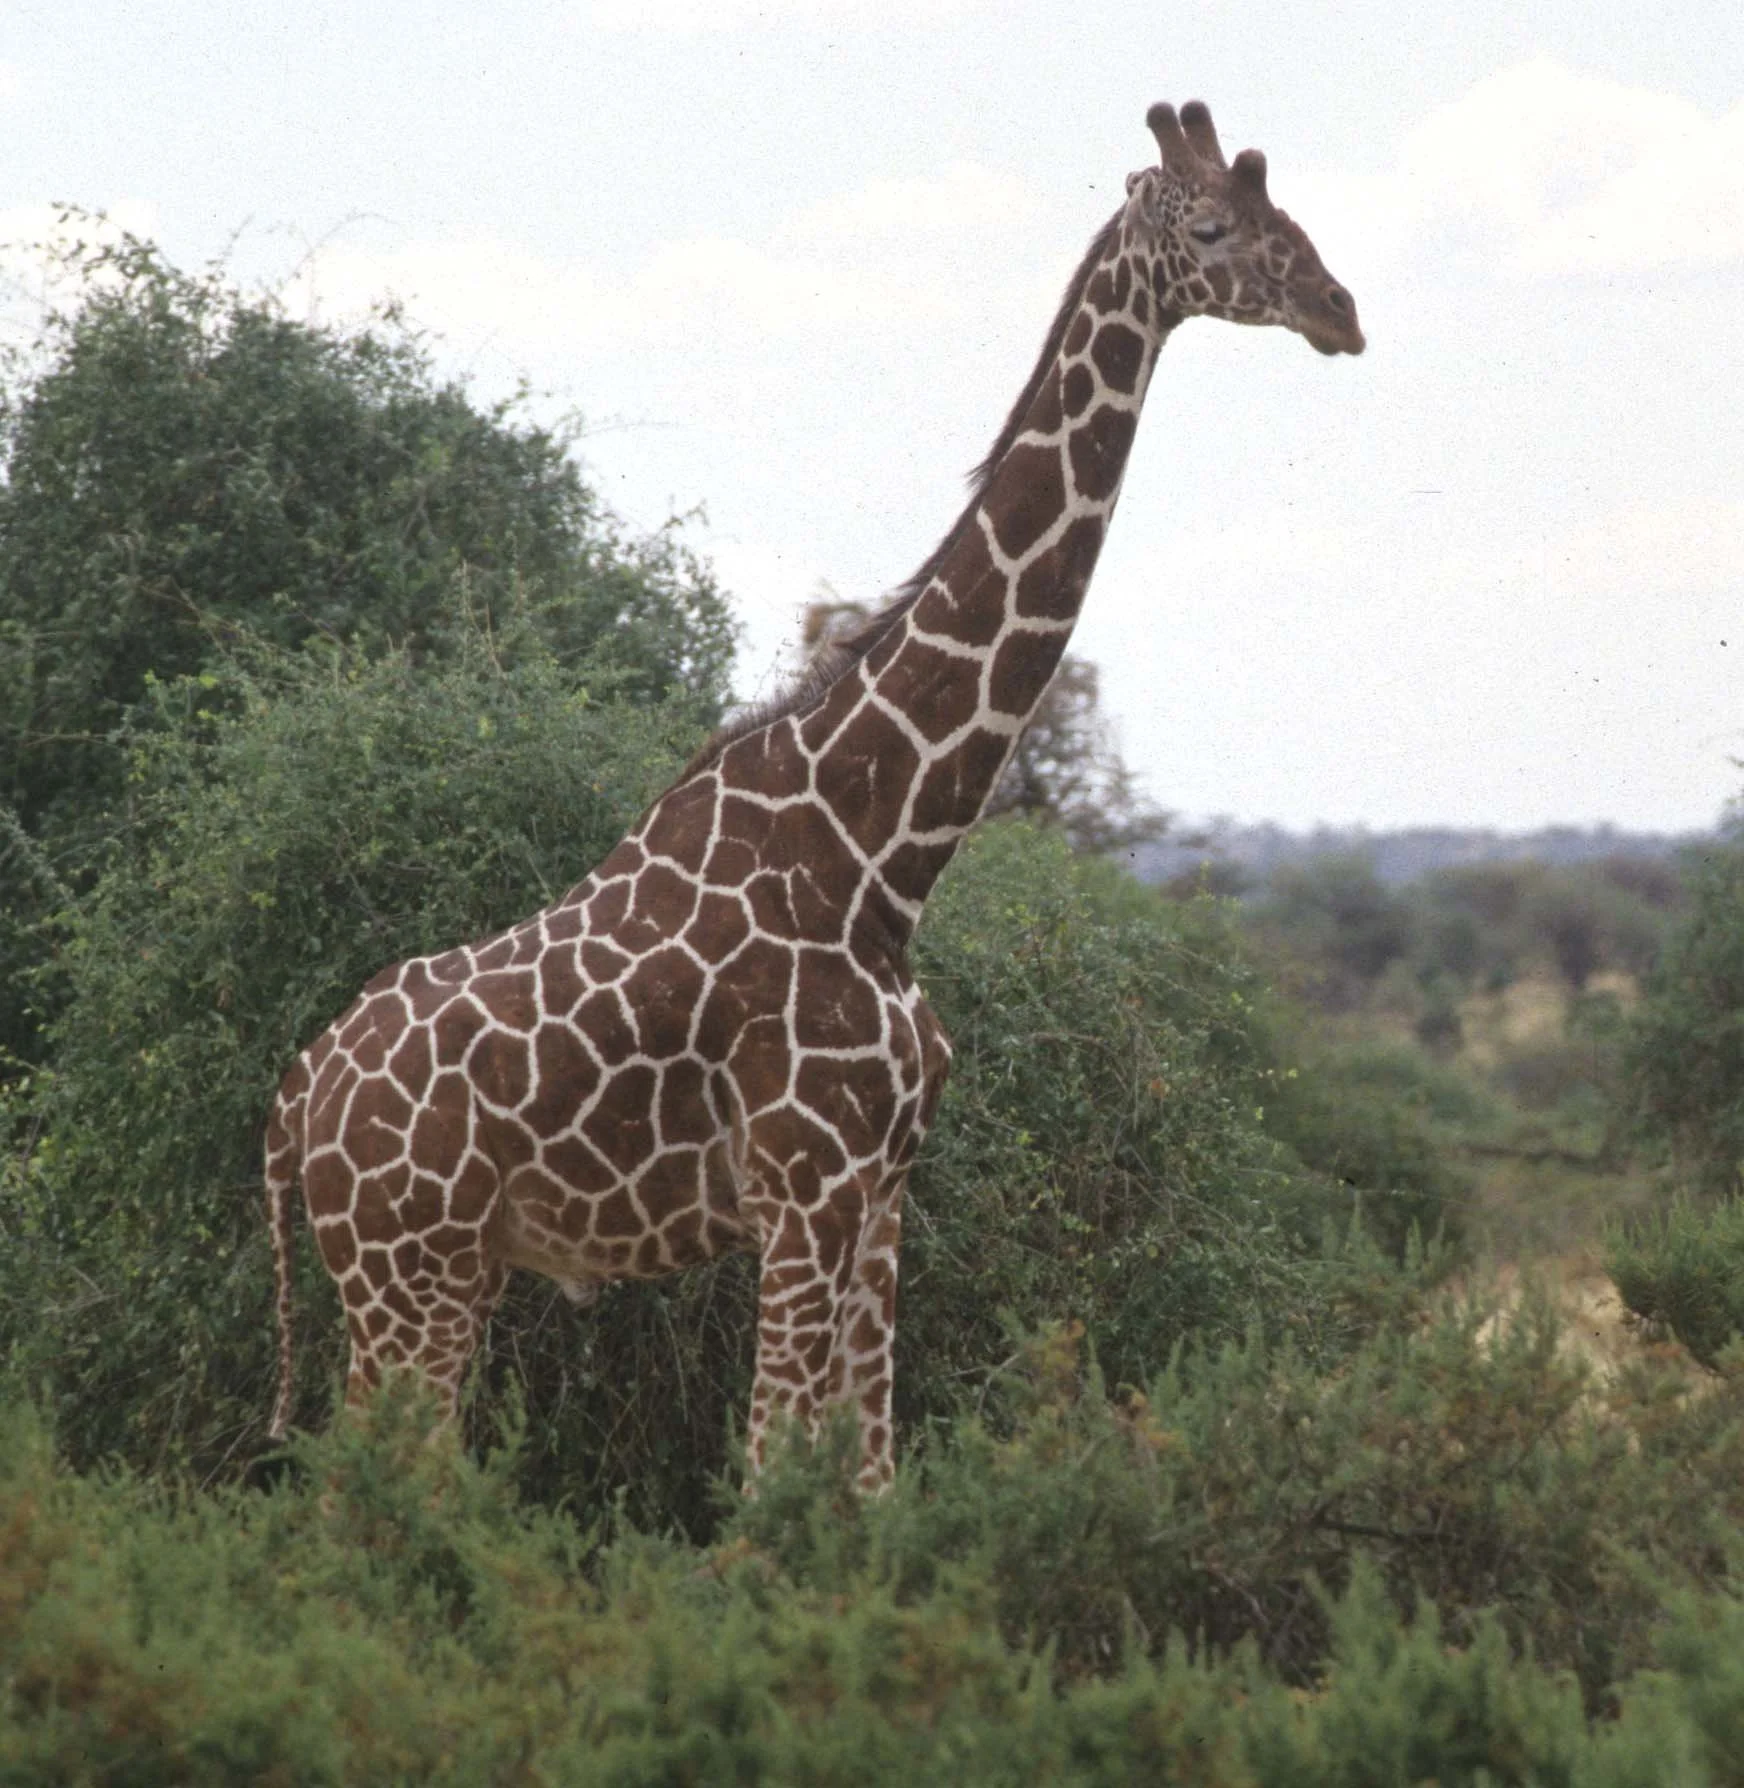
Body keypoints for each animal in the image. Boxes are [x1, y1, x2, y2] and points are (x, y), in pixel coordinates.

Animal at [264, 100, 1363, 1490]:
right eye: (1215, 226)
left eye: (1292, 217)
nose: (1340, 309)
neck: (880, 853)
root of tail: (296, 1097)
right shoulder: (804, 1186)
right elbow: (771, 1475)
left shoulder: (883, 1191)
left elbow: (866, 1478)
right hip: (407, 1270)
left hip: (435, 1274)